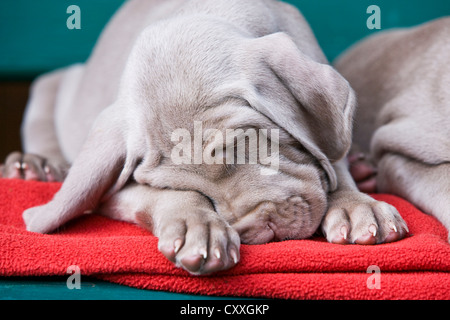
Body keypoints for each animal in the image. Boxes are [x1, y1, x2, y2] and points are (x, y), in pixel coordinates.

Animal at [0, 0, 408, 276]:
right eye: (184, 186)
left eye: (244, 147)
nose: (256, 229)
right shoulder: (110, 190)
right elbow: (163, 198)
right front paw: (197, 227)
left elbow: (332, 161)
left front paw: (356, 204)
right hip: (49, 88)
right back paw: (34, 166)